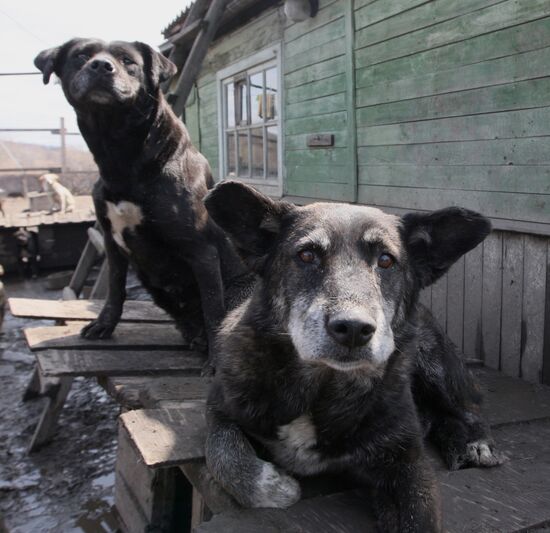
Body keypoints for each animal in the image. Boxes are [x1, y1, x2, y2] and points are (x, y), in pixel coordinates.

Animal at [33, 39, 243, 368]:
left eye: (128, 61)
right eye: (81, 55)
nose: (101, 66)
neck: (123, 156)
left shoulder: (201, 249)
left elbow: (213, 307)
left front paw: (215, 361)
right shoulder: (111, 241)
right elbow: (115, 288)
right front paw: (105, 324)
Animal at [203, 182, 504, 528]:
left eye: (386, 260)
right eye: (306, 255)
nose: (354, 329)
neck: (322, 386)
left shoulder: (407, 463)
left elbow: (419, 518)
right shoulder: (219, 406)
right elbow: (224, 451)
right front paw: (274, 487)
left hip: (435, 362)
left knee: (469, 404)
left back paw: (475, 442)